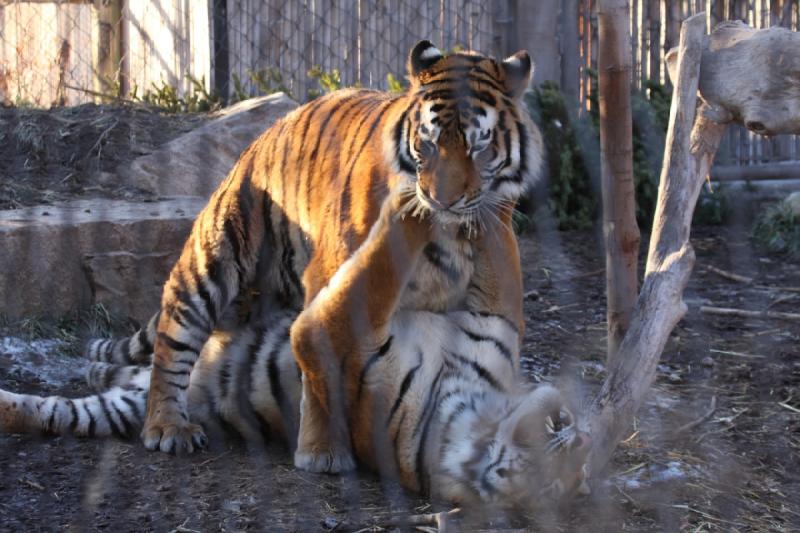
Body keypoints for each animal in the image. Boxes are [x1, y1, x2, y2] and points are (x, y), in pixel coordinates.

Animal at [0, 190, 588, 502]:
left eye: (561, 468)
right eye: (567, 442)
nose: (579, 431)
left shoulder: (335, 329)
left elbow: (372, 275)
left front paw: (411, 203)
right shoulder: (493, 322)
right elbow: (500, 257)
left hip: (120, 410)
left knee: (61, 412)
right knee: (159, 349)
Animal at [108, 42, 544, 474]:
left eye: (478, 146)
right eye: (429, 142)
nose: (441, 200)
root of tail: (267, 133)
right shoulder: (331, 273)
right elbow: (321, 366)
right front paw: (321, 450)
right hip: (215, 254)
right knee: (172, 341)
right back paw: (167, 426)